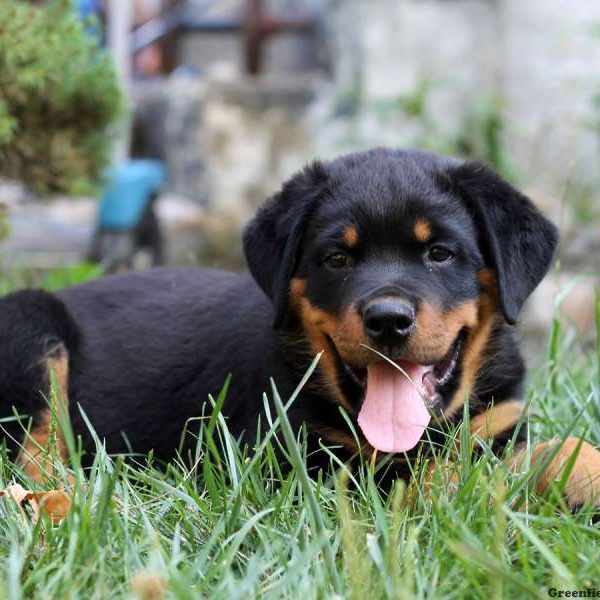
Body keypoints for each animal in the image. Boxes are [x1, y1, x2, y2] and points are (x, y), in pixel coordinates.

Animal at [1, 148, 600, 508]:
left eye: (440, 253)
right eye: (336, 258)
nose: (388, 320)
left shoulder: (499, 422)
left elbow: (560, 447)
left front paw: (578, 476)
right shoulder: (292, 459)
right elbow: (442, 474)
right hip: (32, 327)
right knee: (31, 459)